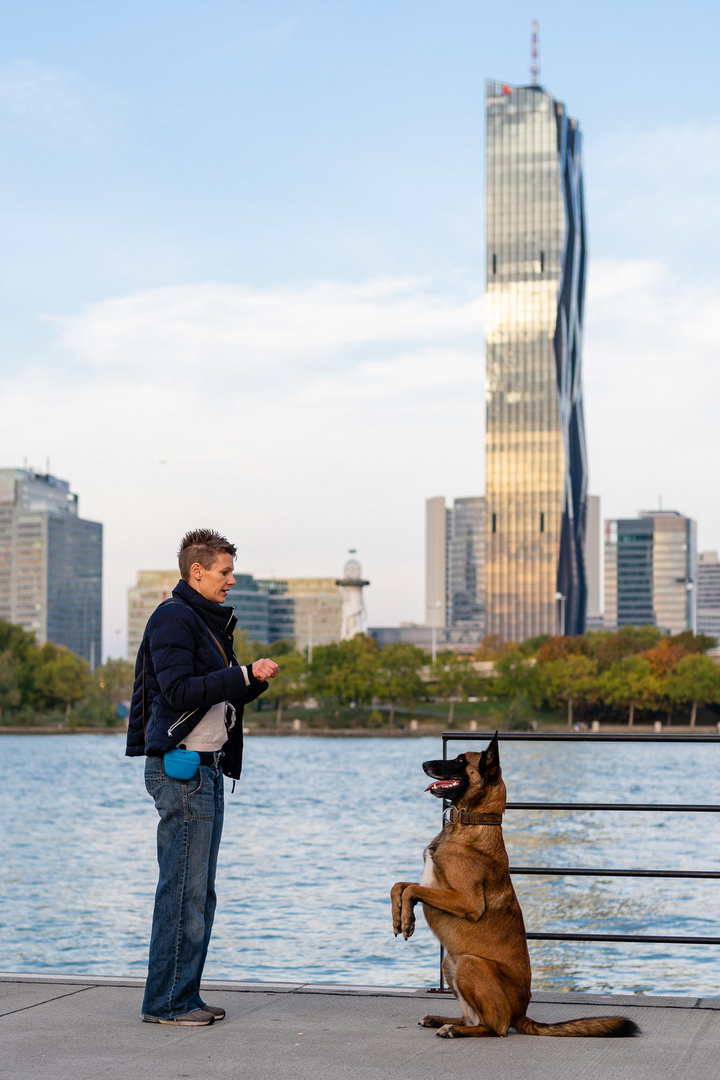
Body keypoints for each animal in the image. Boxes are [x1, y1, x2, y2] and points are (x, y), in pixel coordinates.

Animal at [390, 734, 639, 1036]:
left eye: (460, 760)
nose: (424, 763)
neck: (471, 823)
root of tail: (522, 1014)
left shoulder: (466, 902)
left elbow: (413, 888)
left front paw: (407, 920)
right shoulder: (433, 887)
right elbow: (399, 885)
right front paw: (400, 918)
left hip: (469, 963)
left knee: (495, 1026)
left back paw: (455, 1030)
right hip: (450, 961)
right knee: (474, 1018)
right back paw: (443, 1020)